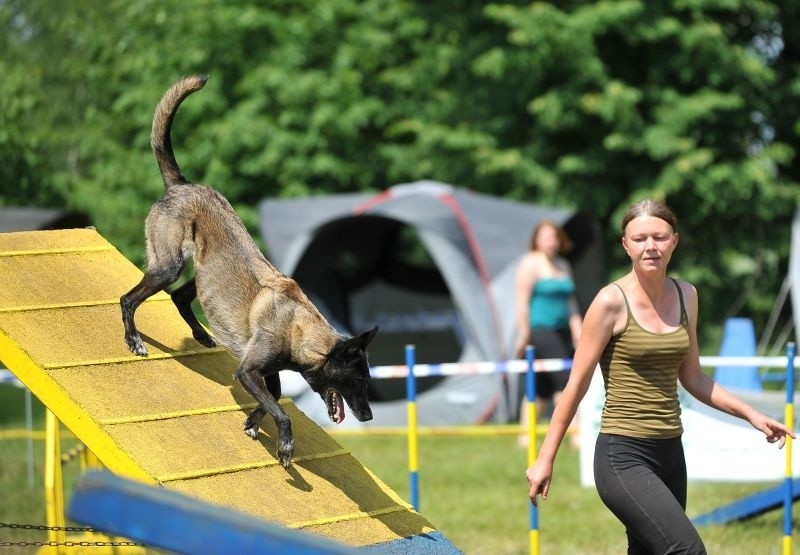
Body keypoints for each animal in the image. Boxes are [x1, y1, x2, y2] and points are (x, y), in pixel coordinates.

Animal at [120, 76, 380, 470]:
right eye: (357, 382)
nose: (367, 417)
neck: (299, 330)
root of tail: (181, 184)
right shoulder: (249, 371)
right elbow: (281, 409)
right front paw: (285, 445)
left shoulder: (266, 375)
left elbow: (274, 400)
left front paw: (253, 424)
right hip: (169, 266)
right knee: (129, 299)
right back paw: (133, 339)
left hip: (204, 276)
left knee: (179, 297)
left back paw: (202, 335)